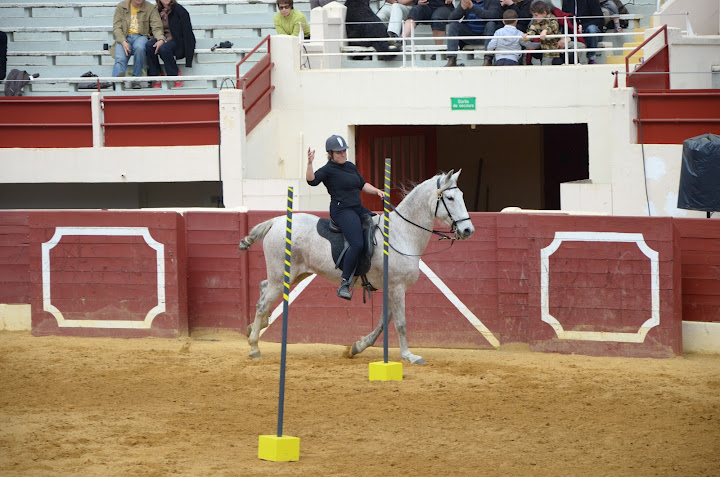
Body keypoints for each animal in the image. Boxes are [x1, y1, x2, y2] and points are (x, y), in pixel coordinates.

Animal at [239, 169, 476, 362]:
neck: (401, 233)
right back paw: (254, 347)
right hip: (282, 277)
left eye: (463, 196)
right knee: (263, 303)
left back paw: (256, 328)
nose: (468, 230)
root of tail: (277, 221)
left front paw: (357, 347)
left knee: (262, 288)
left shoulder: (390, 289)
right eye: (450, 197)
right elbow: (400, 323)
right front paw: (409, 356)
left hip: (293, 275)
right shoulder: (398, 288)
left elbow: (384, 321)